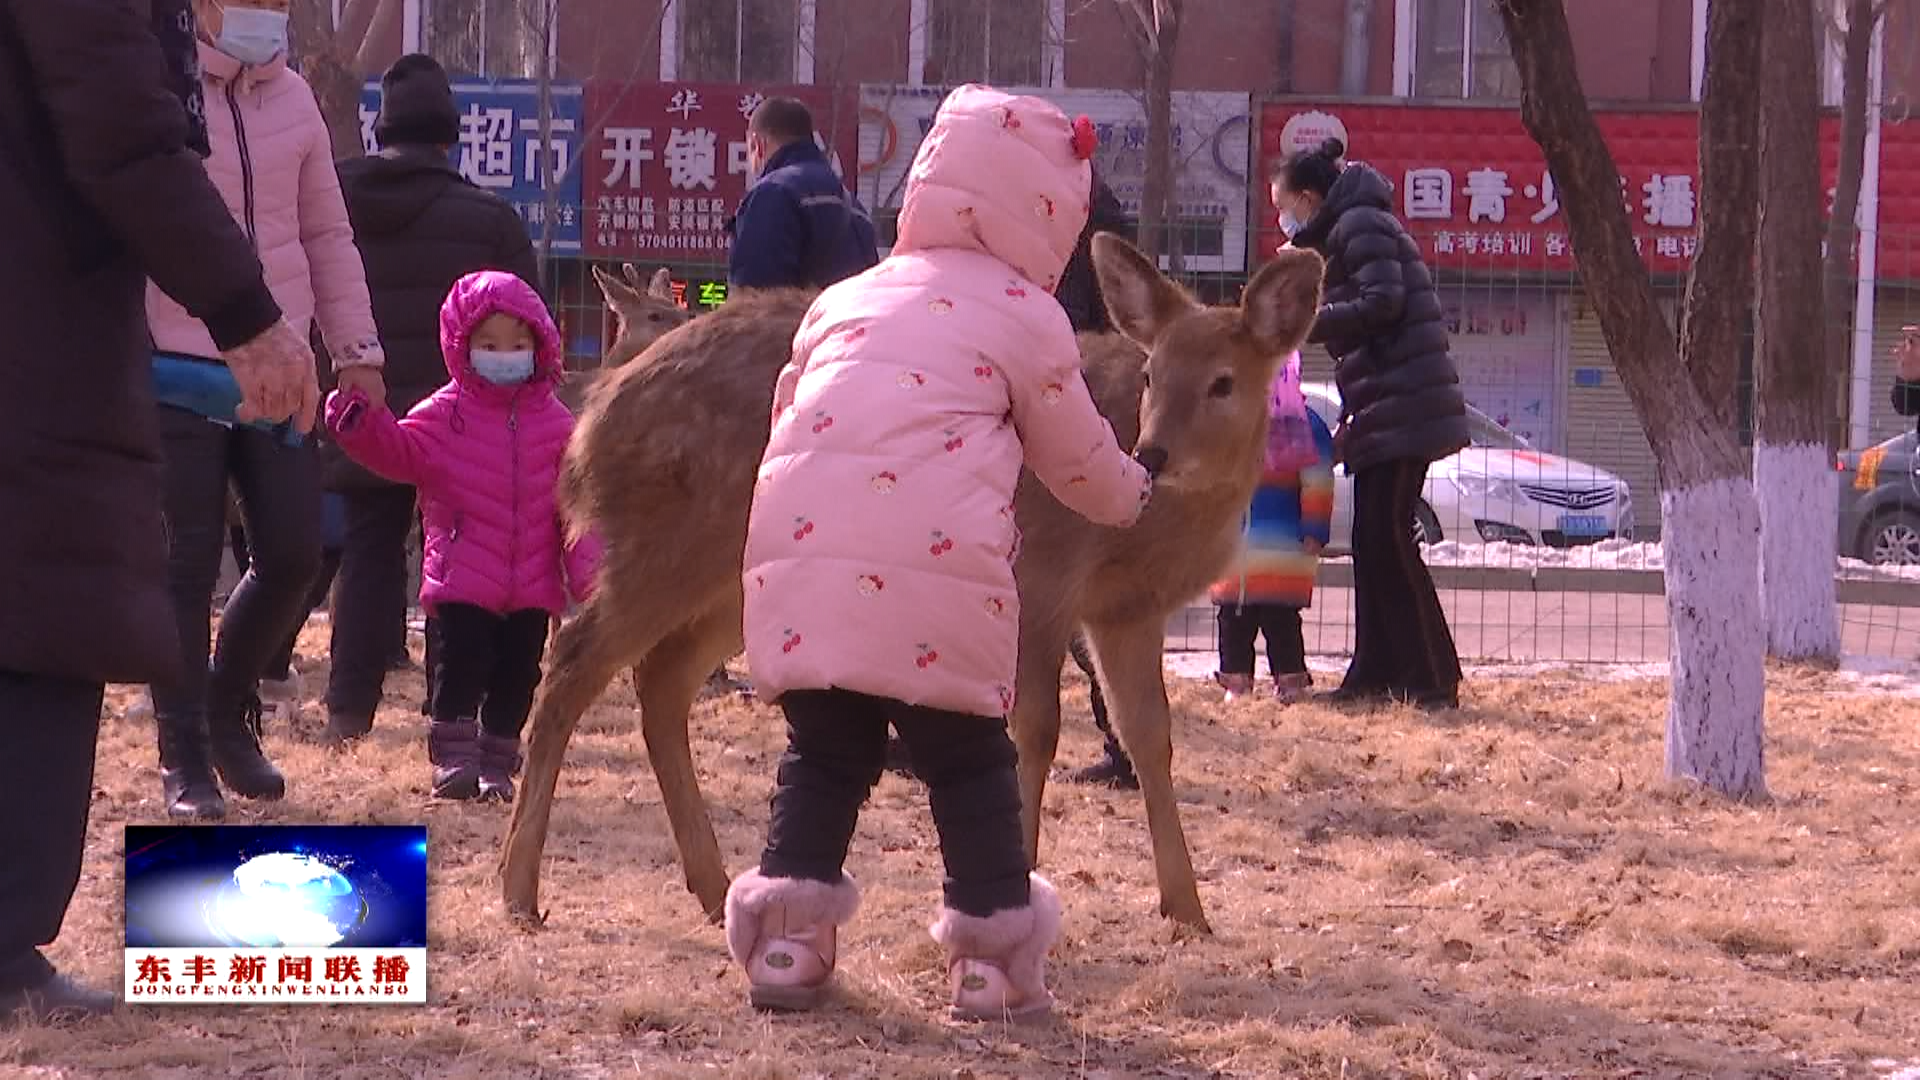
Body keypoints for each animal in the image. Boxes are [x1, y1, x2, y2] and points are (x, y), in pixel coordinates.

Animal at [503, 237, 1328, 933]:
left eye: (1223, 382)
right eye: (1154, 372)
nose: (1152, 452)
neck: (1135, 533)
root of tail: (589, 430)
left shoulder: (1124, 610)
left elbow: (1149, 737)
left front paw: (1188, 909)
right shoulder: (1041, 577)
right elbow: (1036, 731)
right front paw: (1020, 890)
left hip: (734, 581)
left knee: (660, 680)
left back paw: (713, 887)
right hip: (668, 543)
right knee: (573, 661)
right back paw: (521, 891)